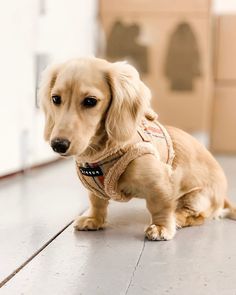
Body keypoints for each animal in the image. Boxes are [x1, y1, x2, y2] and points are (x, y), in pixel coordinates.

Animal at [39, 57, 236, 240]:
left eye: (90, 101)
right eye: (55, 99)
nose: (58, 144)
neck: (99, 154)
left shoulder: (160, 181)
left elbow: (161, 206)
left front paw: (161, 227)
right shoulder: (95, 192)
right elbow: (97, 202)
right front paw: (94, 219)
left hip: (196, 197)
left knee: (197, 216)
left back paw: (177, 218)